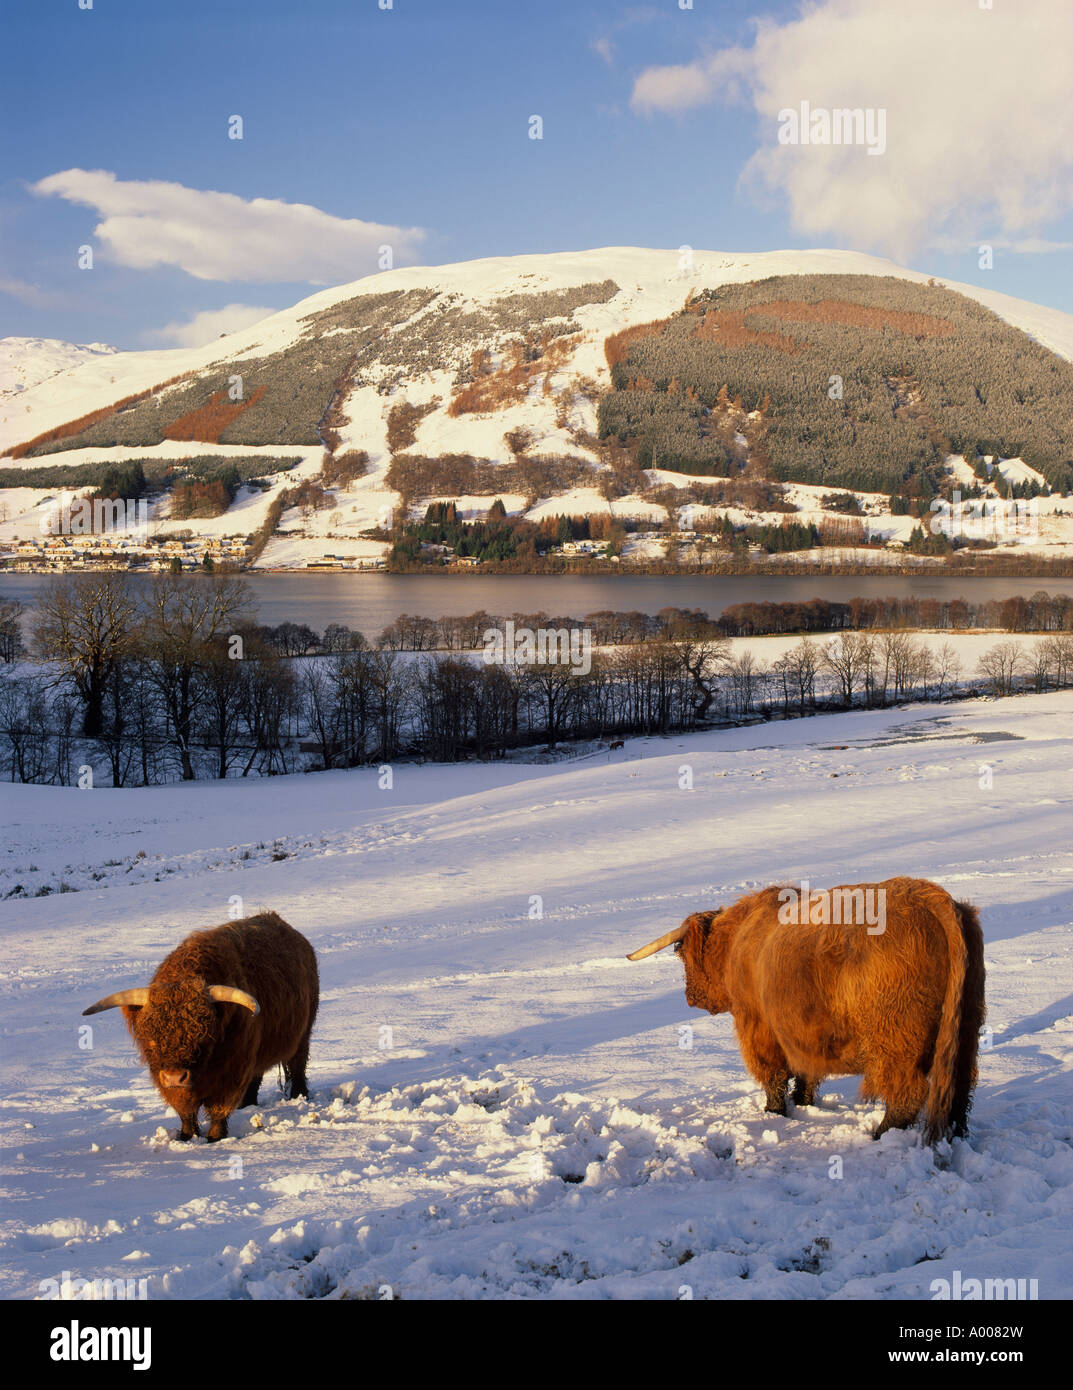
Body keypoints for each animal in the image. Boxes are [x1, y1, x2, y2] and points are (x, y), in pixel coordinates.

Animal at [82, 911, 319, 1143]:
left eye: (202, 1035)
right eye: (152, 1037)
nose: (174, 1077)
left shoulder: (233, 1070)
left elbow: (219, 1108)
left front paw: (215, 1137)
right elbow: (185, 1109)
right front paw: (186, 1136)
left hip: (303, 1034)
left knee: (297, 1065)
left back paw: (300, 1096)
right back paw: (247, 1104)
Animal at [627, 877, 985, 1144]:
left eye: (681, 953)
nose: (691, 997)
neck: (739, 940)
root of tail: (931, 898)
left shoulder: (758, 1025)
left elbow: (772, 1072)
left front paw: (774, 1111)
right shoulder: (805, 1033)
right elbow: (806, 1073)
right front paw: (803, 1103)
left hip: (895, 1041)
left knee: (906, 1093)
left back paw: (880, 1134)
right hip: (966, 1029)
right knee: (959, 1087)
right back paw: (955, 1132)